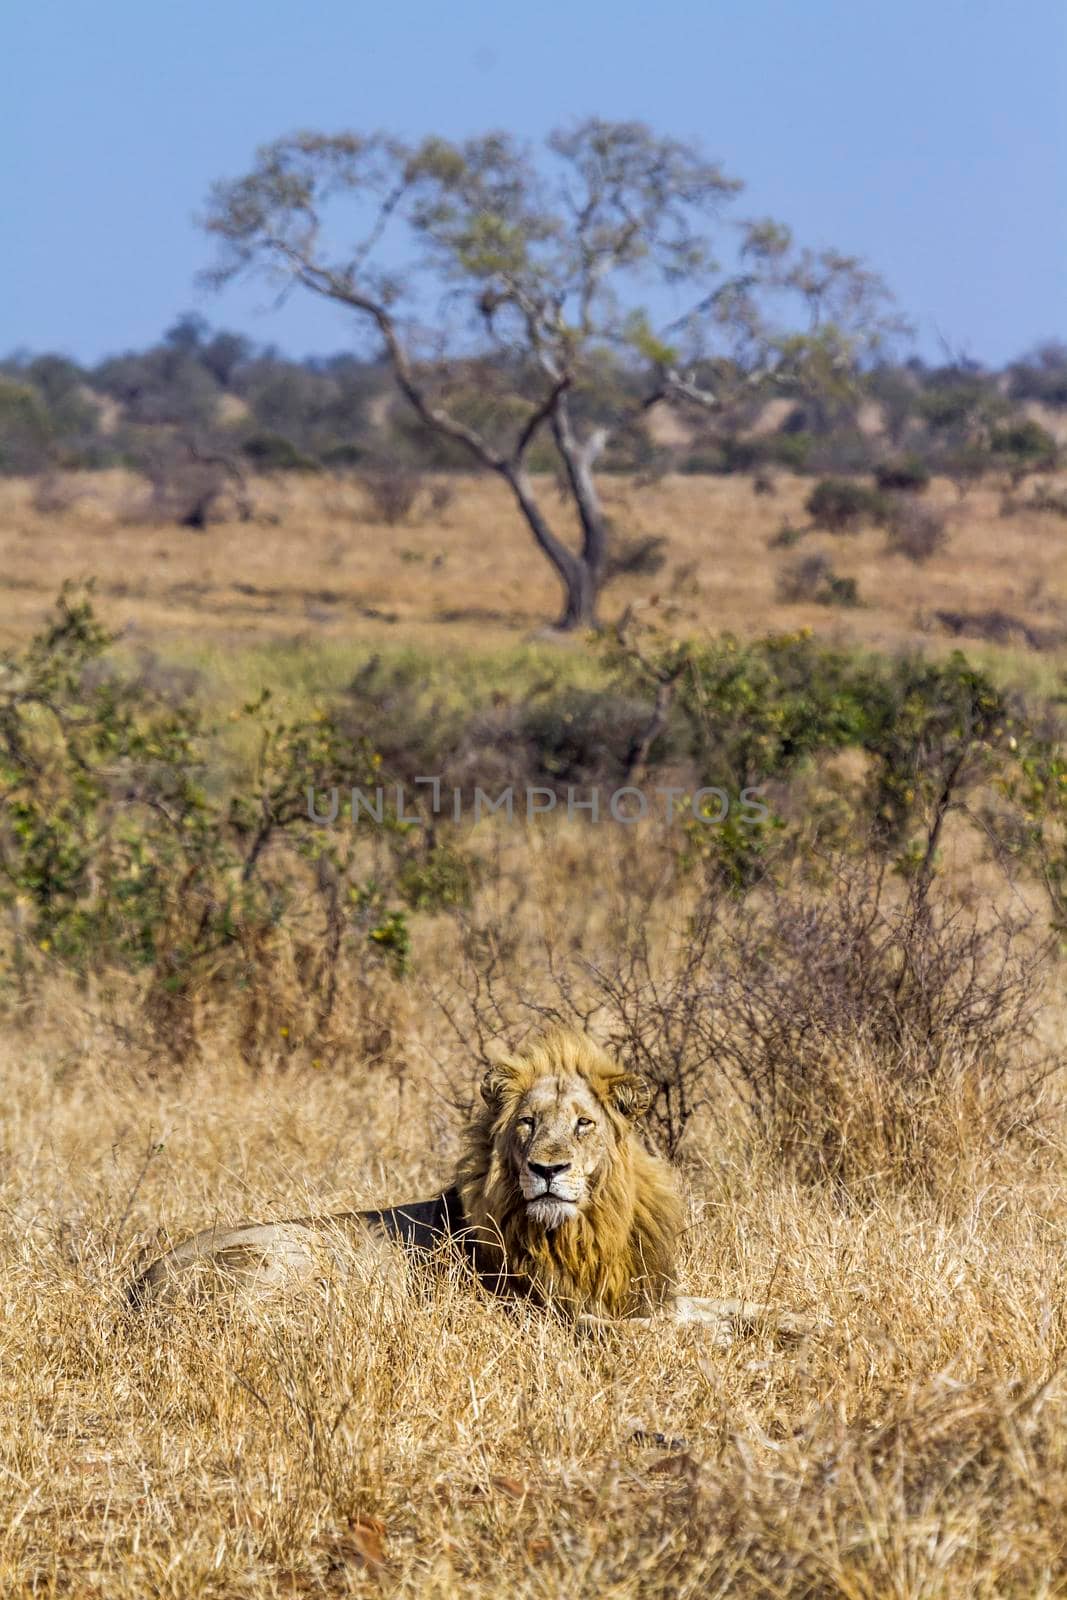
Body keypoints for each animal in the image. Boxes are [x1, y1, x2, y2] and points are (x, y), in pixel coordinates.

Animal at [120, 1030, 812, 1344]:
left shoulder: (640, 1293)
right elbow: (657, 1332)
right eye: (528, 1124)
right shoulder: (552, 1315)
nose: (548, 1170)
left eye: (583, 1124)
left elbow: (727, 1303)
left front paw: (803, 1322)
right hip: (292, 1257)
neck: (589, 1232)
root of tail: (139, 1287)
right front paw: (725, 1341)